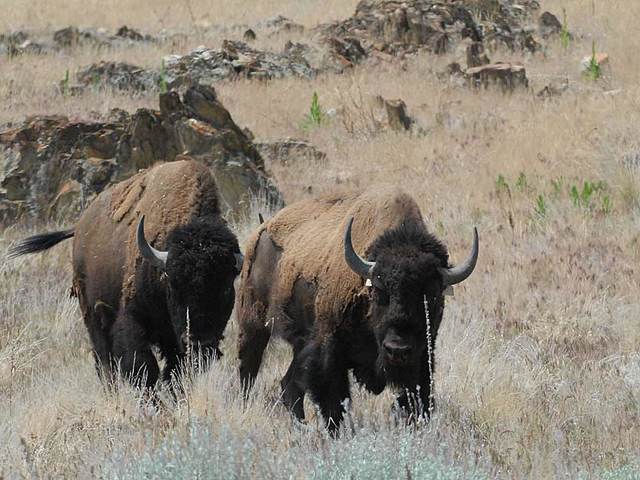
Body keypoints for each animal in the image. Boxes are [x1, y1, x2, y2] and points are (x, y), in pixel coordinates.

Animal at [9, 159, 242, 388]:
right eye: (174, 286)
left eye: (225, 288)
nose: (199, 342)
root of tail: (80, 226)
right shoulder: (132, 319)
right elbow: (144, 367)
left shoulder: (174, 341)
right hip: (92, 315)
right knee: (104, 361)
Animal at [236, 187, 478, 432]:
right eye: (379, 290)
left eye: (432, 295)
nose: (397, 349)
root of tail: (261, 229)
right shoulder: (329, 350)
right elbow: (334, 402)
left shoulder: (423, 356)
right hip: (252, 325)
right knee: (248, 371)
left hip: (299, 342)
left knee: (289, 385)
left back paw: (301, 427)